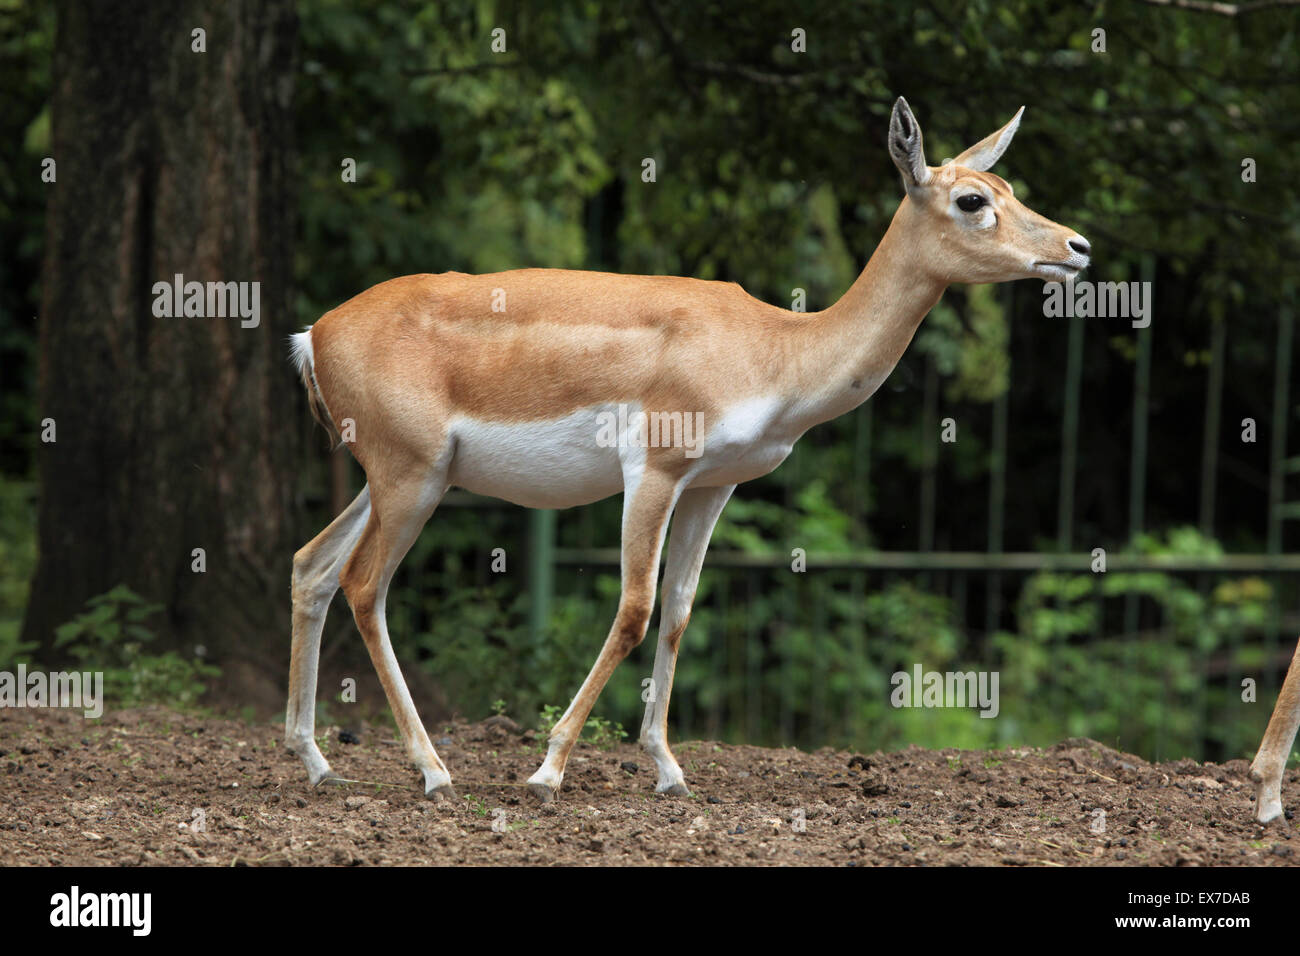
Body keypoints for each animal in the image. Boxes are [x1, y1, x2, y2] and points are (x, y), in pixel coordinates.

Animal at [282, 95, 1086, 801]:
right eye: (973, 200)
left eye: (1009, 186)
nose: (1076, 248)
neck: (777, 350)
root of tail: (314, 334)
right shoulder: (655, 472)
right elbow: (635, 609)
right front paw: (548, 771)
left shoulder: (712, 485)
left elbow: (678, 612)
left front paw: (669, 771)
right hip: (410, 479)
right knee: (364, 586)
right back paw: (434, 773)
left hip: (399, 480)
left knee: (312, 566)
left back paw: (318, 764)